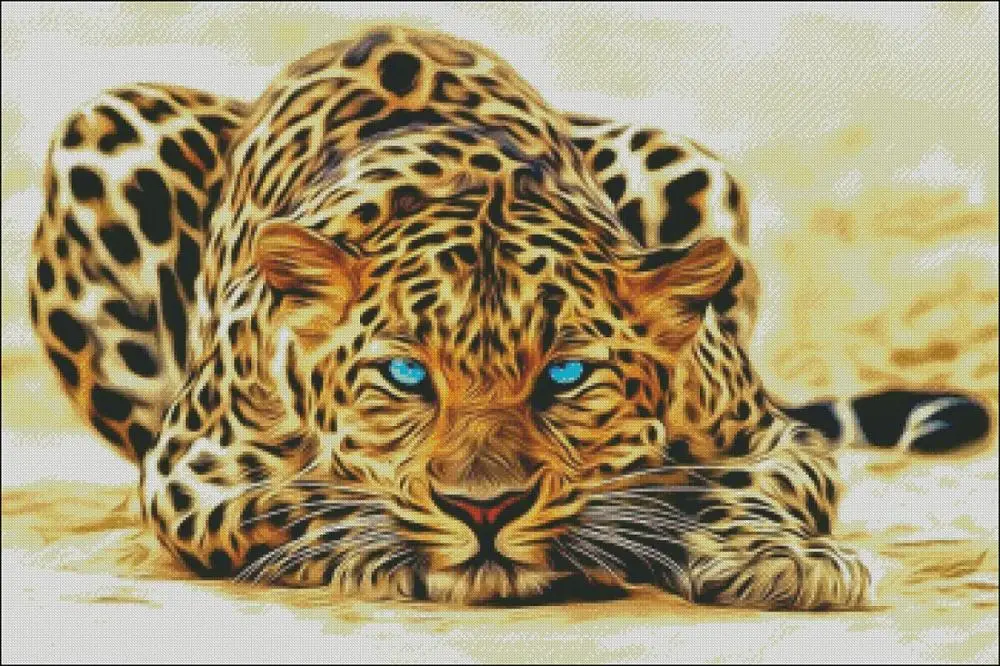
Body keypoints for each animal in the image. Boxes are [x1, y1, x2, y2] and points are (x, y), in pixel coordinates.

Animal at [27, 25, 991, 608]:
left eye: (565, 374)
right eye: (406, 375)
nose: (483, 510)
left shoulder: (770, 437)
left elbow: (748, 484)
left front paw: (773, 557)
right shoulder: (192, 468)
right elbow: (291, 501)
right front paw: (375, 546)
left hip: (685, 162)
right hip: (103, 127)